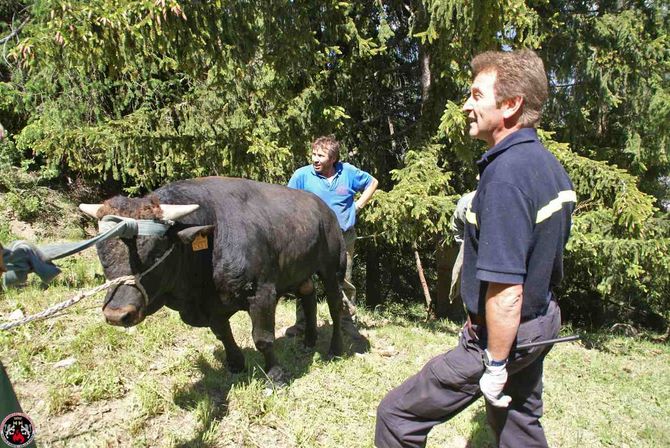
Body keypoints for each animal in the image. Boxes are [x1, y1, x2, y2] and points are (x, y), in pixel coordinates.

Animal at [80, 176, 346, 382]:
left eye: (156, 250)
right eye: (101, 252)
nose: (117, 314)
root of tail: (324, 208)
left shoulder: (262, 293)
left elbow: (263, 338)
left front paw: (276, 375)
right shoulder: (211, 305)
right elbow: (222, 333)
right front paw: (236, 364)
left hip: (332, 268)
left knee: (335, 306)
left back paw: (335, 349)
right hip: (300, 271)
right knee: (309, 297)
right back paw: (309, 341)